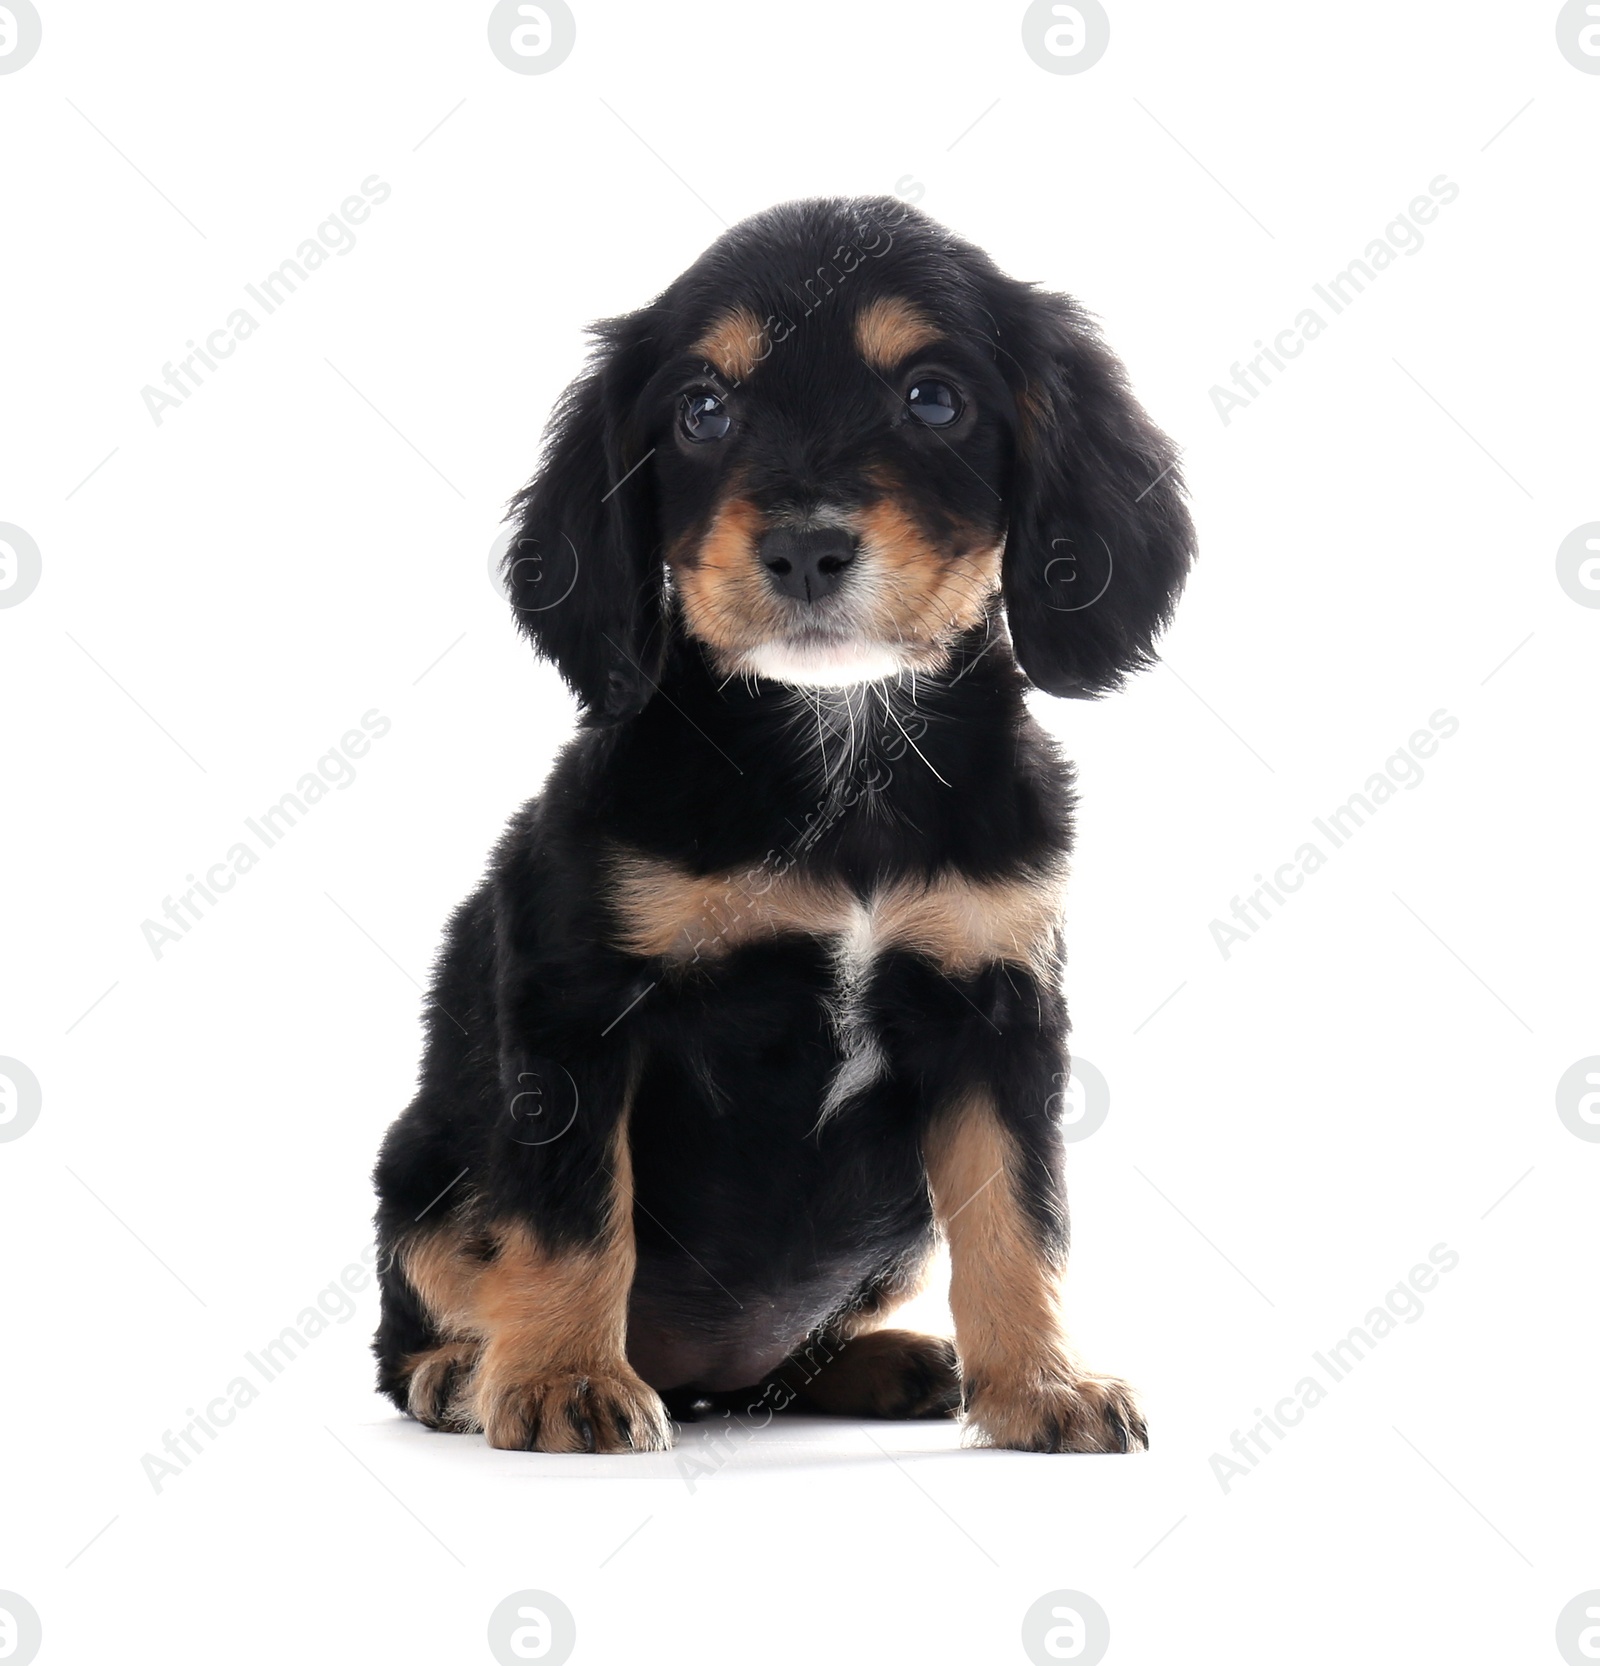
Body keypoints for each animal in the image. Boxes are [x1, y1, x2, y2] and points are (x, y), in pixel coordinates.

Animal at [375, 191, 1193, 1446]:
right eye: (703, 410)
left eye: (933, 398)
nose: (805, 549)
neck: (836, 751)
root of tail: (704, 1377)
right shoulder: (575, 1007)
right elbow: (570, 1217)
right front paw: (563, 1378)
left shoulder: (1000, 1005)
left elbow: (1018, 1217)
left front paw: (1044, 1385)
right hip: (423, 1166)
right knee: (425, 1300)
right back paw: (467, 1371)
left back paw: (891, 1361)